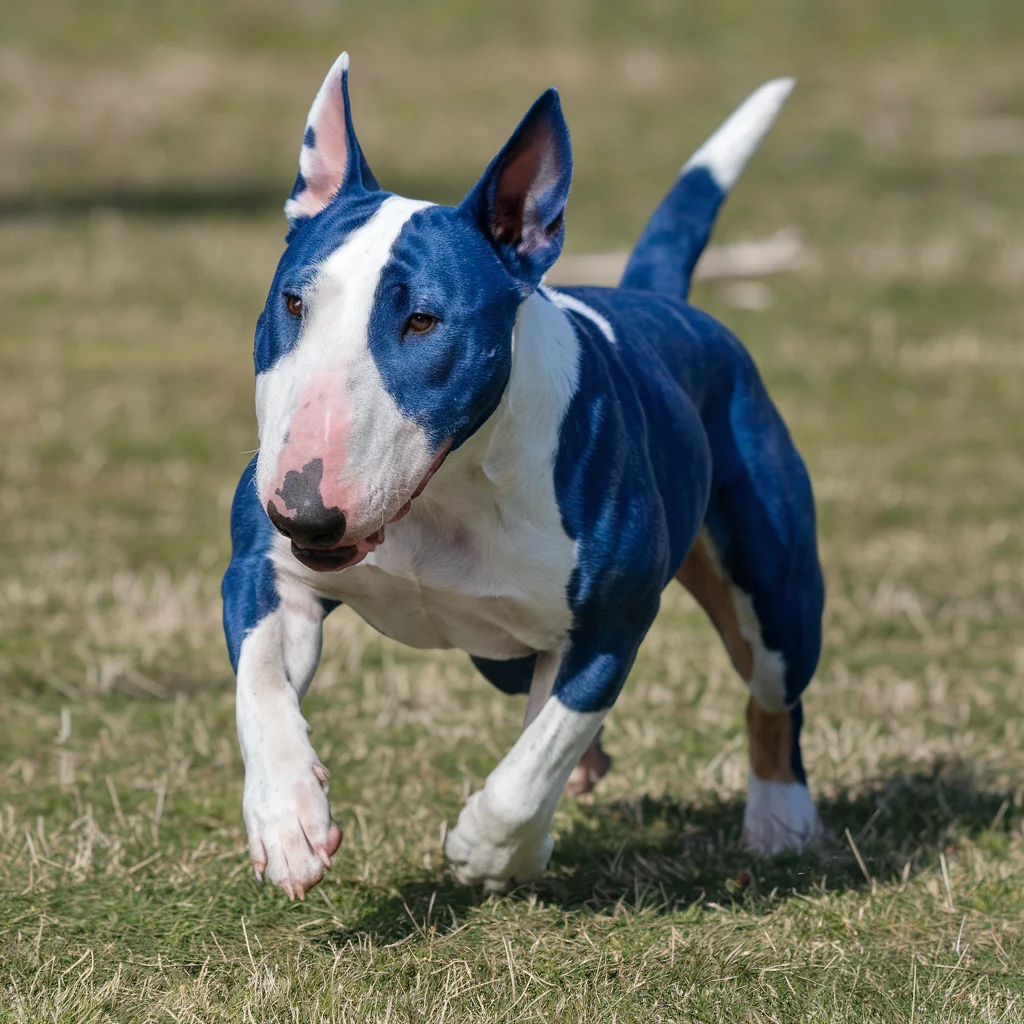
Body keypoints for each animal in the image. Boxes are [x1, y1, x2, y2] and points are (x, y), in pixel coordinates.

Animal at [222, 56, 823, 901]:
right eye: (294, 302)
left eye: (424, 320)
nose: (304, 510)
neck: (442, 496)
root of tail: (658, 301)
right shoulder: (264, 573)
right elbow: (261, 690)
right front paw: (288, 822)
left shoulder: (610, 624)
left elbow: (540, 756)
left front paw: (490, 848)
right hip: (497, 654)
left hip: (776, 592)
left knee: (772, 694)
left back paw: (780, 816)